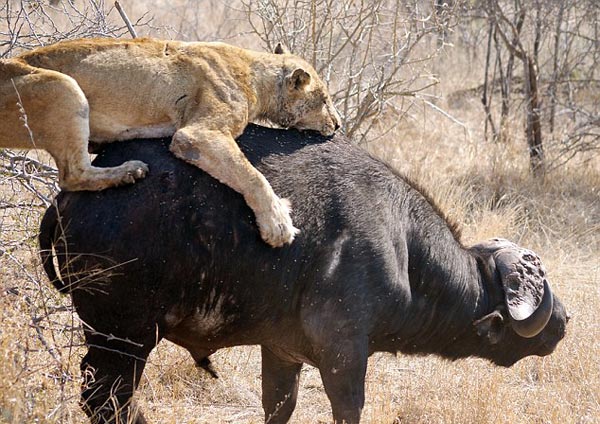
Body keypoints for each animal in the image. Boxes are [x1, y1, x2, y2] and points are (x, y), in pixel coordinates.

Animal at [38, 124, 568, 422]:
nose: (563, 320)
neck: (402, 247)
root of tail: (68, 196)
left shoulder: (280, 353)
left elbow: (278, 407)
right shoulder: (344, 356)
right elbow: (347, 409)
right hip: (123, 336)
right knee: (108, 402)